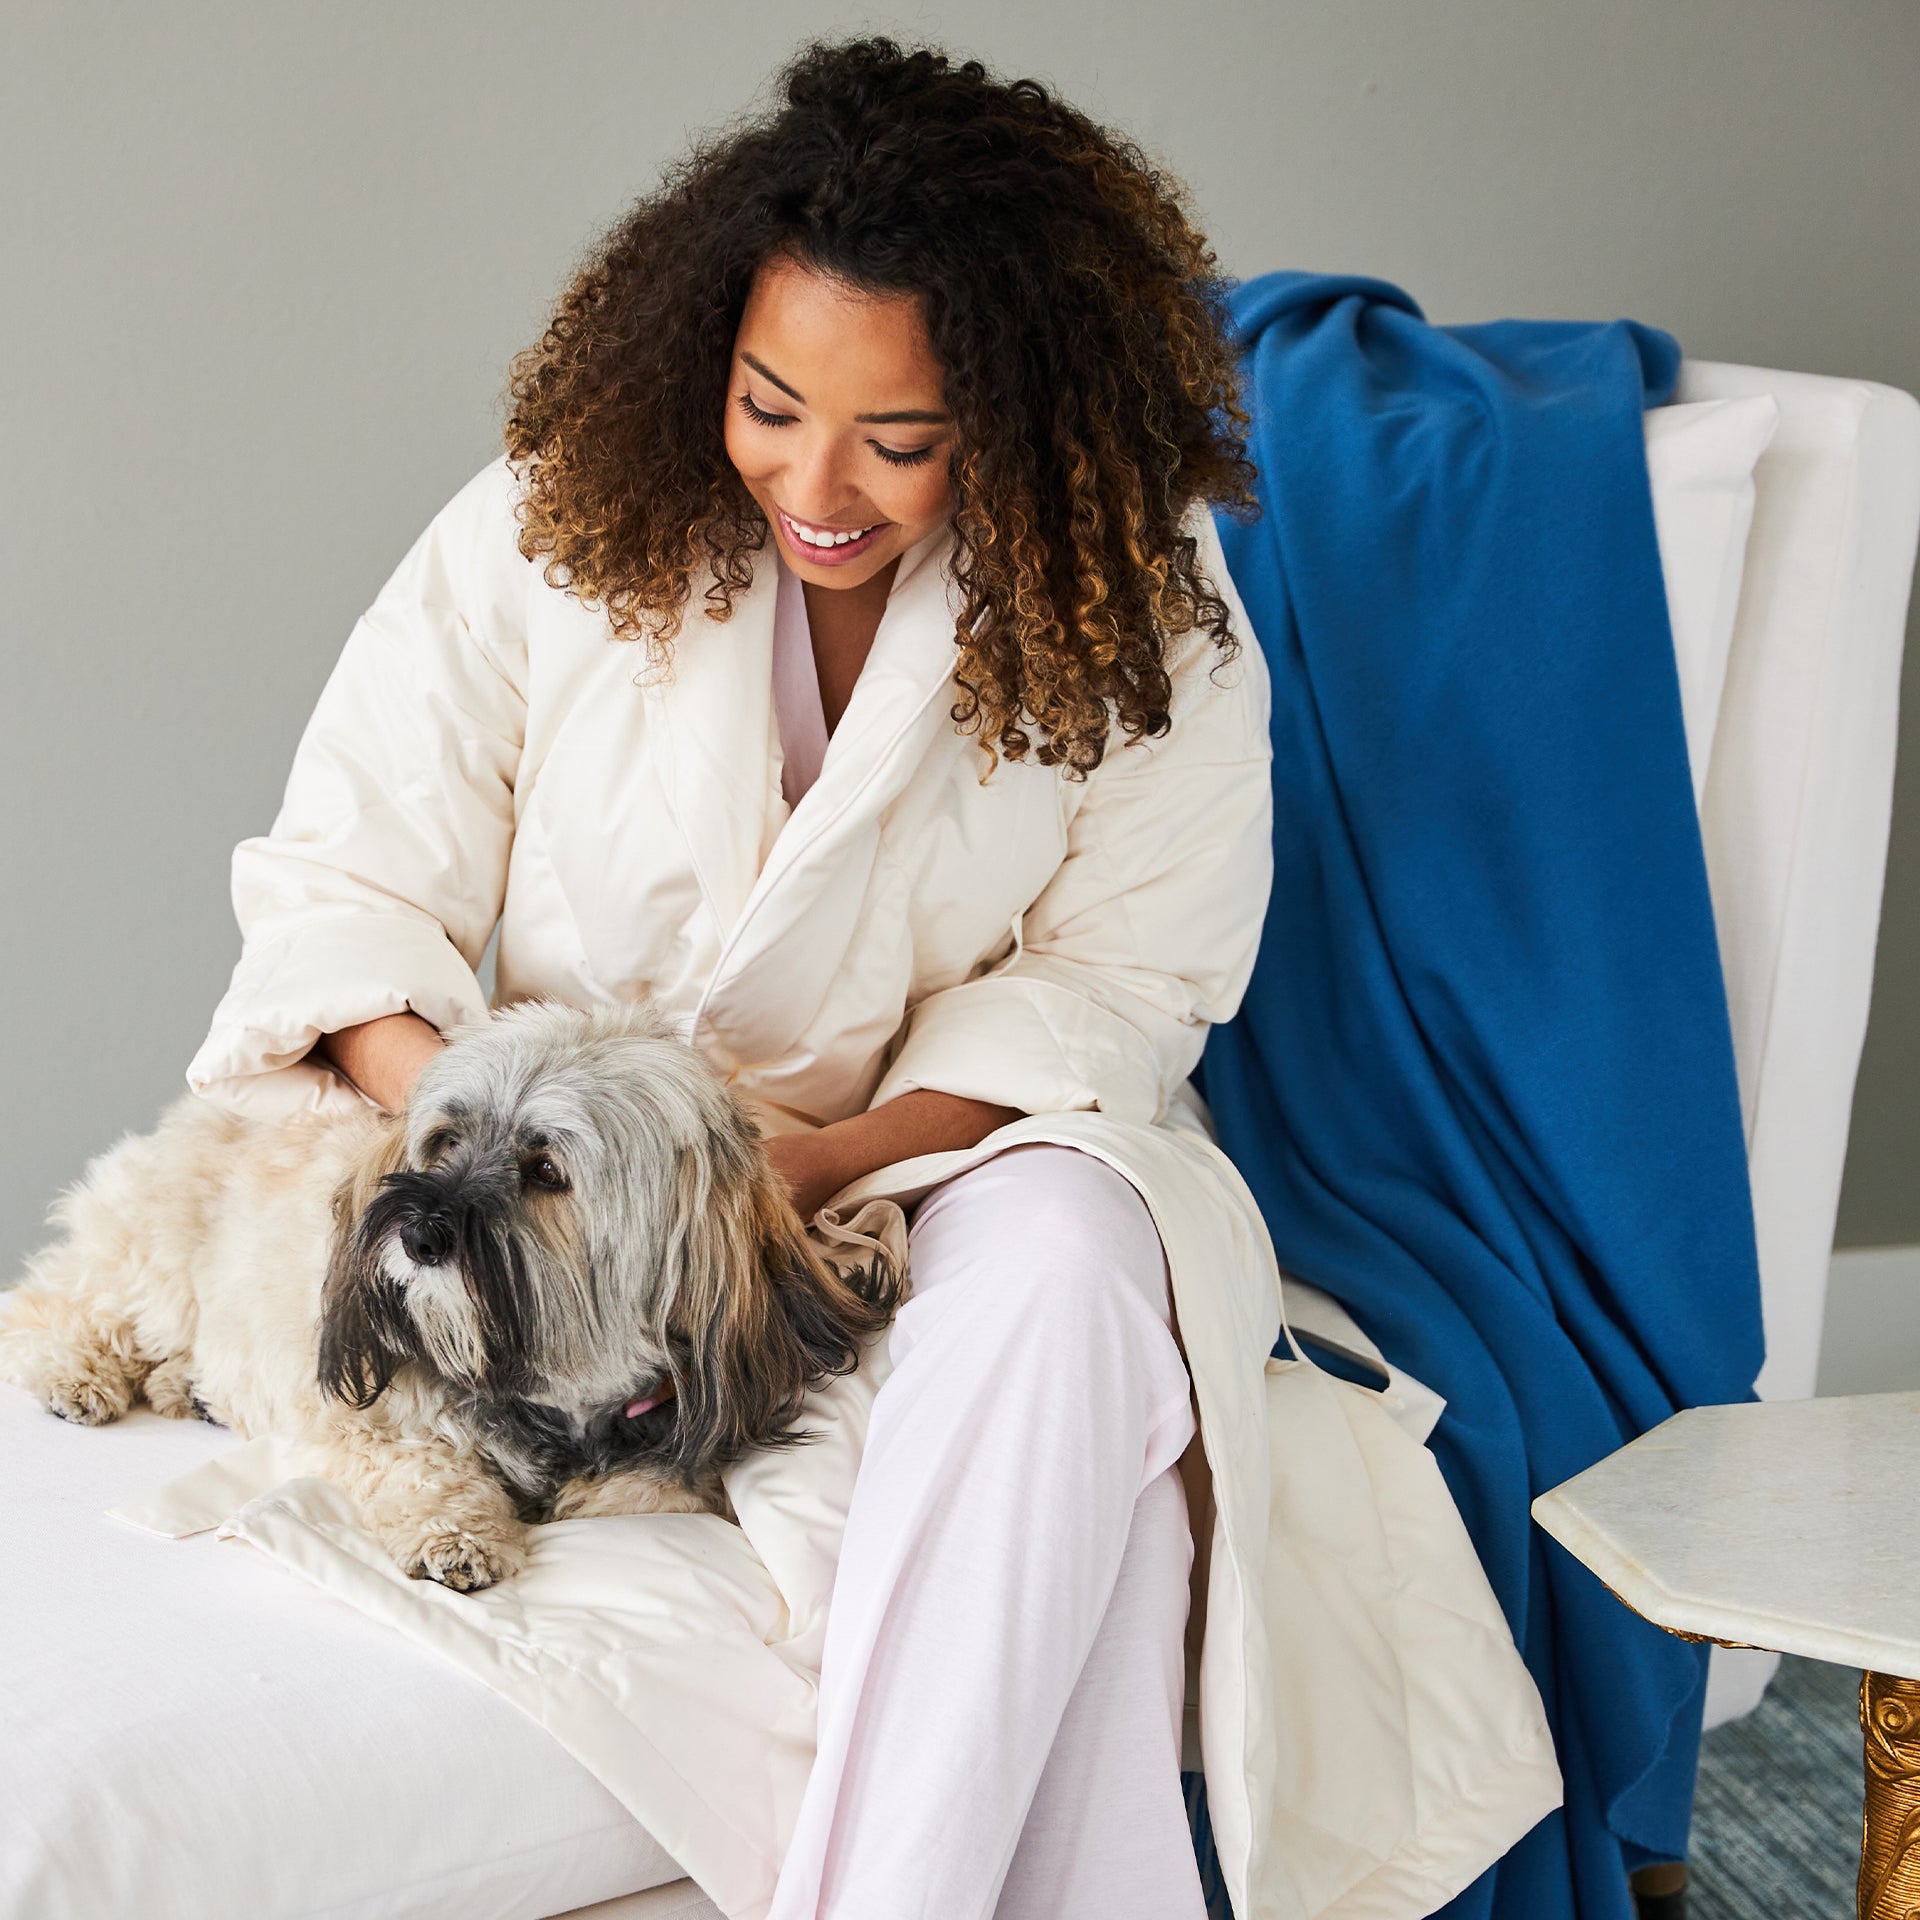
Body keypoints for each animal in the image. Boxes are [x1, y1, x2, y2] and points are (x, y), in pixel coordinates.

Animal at [1, 1006, 898, 1589]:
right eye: (446, 1141)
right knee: (46, 1307)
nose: (419, 1231)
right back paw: (74, 1374)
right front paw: (458, 1534)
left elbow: (652, 1492)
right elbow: (428, 1467)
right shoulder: (365, 1421)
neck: (549, 1394)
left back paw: (185, 1389)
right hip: (148, 1264)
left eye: (547, 1171)